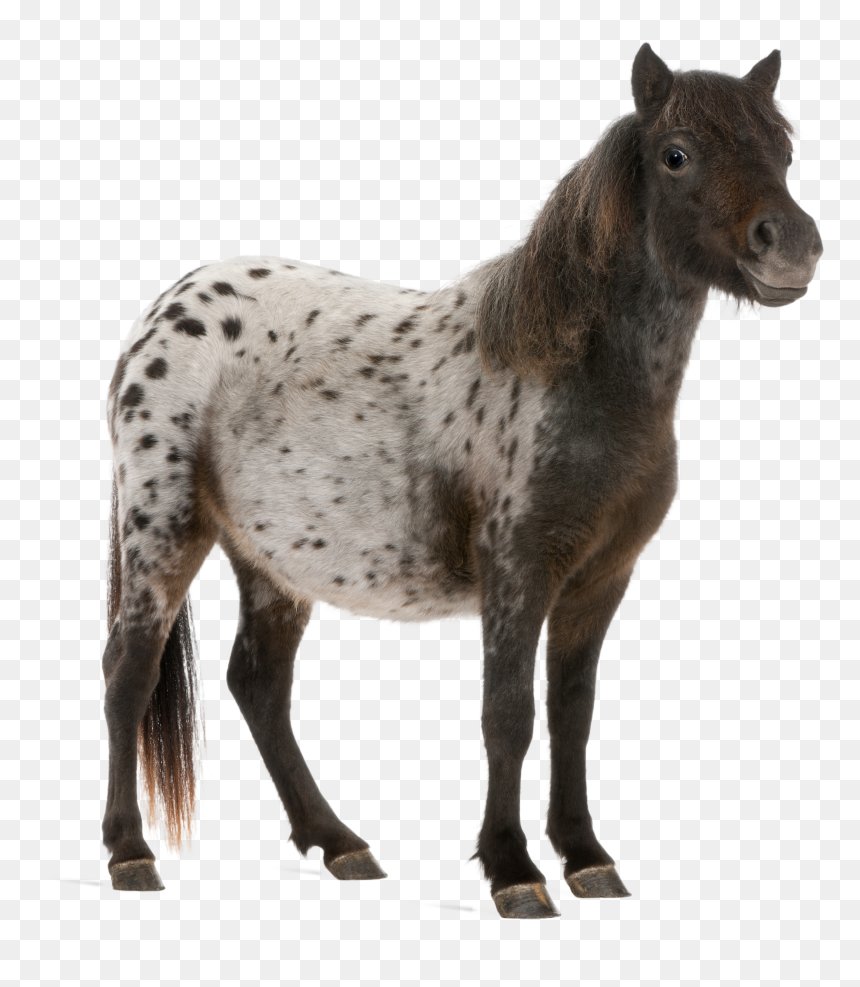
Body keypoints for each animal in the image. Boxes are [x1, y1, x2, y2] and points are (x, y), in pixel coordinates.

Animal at [100, 44, 822, 918]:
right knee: (128, 673)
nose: (792, 246)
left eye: (782, 150)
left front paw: (586, 856)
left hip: (270, 561)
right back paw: (130, 853)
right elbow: (507, 715)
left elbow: (572, 713)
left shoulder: (599, 581)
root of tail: (165, 309)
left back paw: (339, 842)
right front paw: (513, 868)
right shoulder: (517, 573)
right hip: (165, 531)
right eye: (677, 154)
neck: (573, 373)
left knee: (259, 683)